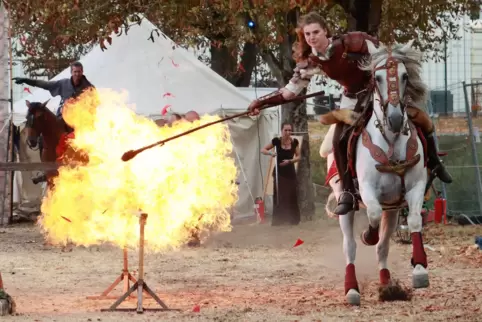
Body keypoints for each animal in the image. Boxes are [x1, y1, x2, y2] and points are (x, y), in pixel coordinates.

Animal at [324, 39, 430, 306]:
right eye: (378, 77)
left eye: (404, 76)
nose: (395, 119)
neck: (391, 140)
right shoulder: (367, 189)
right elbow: (371, 216)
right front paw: (367, 236)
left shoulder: (415, 187)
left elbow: (414, 221)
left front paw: (420, 269)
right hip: (345, 202)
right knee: (350, 246)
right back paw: (352, 289)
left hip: (391, 209)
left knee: (383, 246)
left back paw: (387, 285)